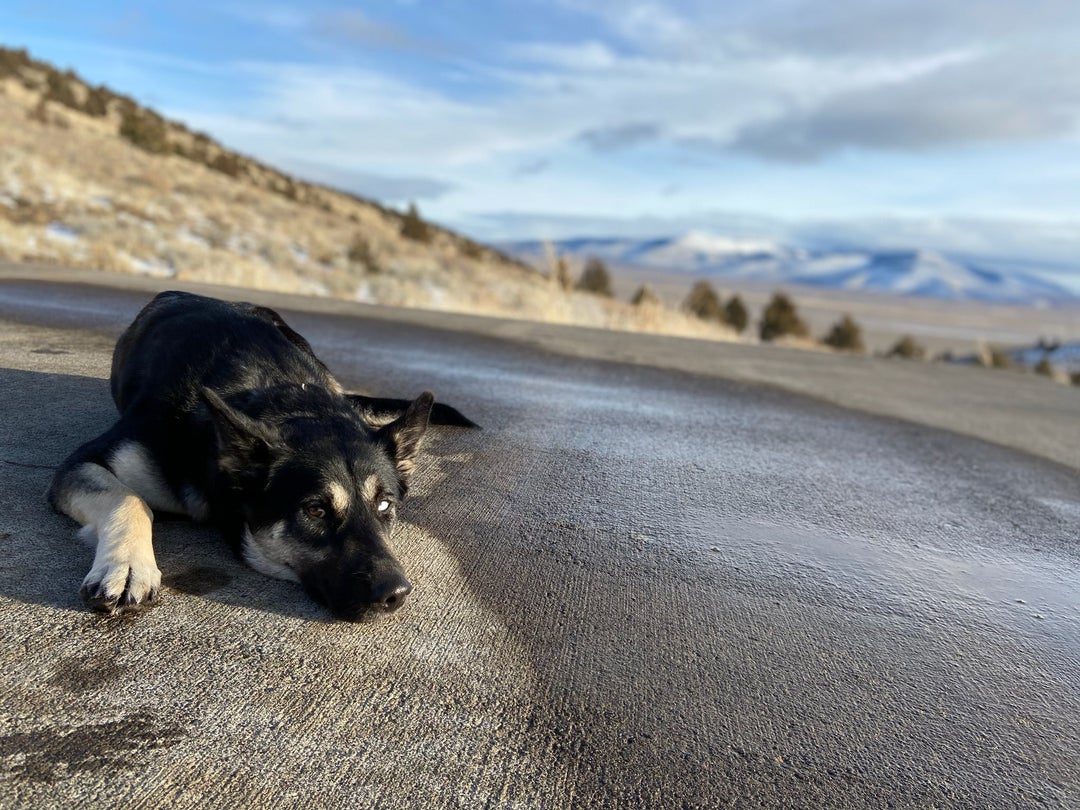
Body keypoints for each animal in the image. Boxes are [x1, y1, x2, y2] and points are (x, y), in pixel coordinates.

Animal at [47, 291, 477, 622]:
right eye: (315, 510)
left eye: (385, 505)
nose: (396, 594)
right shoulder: (87, 460)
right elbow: (130, 499)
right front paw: (128, 565)